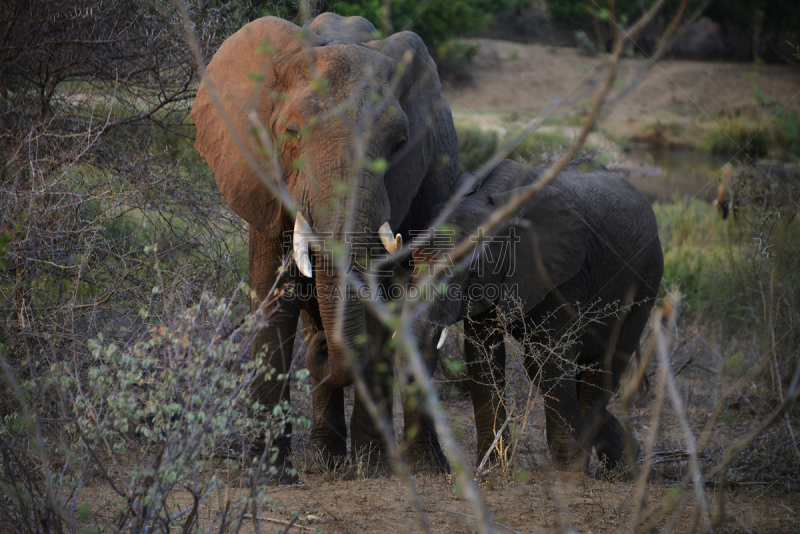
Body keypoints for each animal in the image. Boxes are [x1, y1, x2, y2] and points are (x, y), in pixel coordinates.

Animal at [191, 13, 460, 482]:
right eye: (291, 133)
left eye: (399, 144)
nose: (319, 351)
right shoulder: (262, 179)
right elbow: (274, 298)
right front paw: (267, 474)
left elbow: (379, 304)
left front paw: (372, 467)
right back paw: (325, 459)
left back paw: (416, 465)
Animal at [404, 160, 664, 478]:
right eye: (414, 260)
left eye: (473, 271)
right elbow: (482, 356)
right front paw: (493, 469)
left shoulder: (562, 273)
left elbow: (549, 358)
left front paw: (566, 473)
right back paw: (625, 465)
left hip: (645, 281)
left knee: (602, 364)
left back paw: (598, 469)